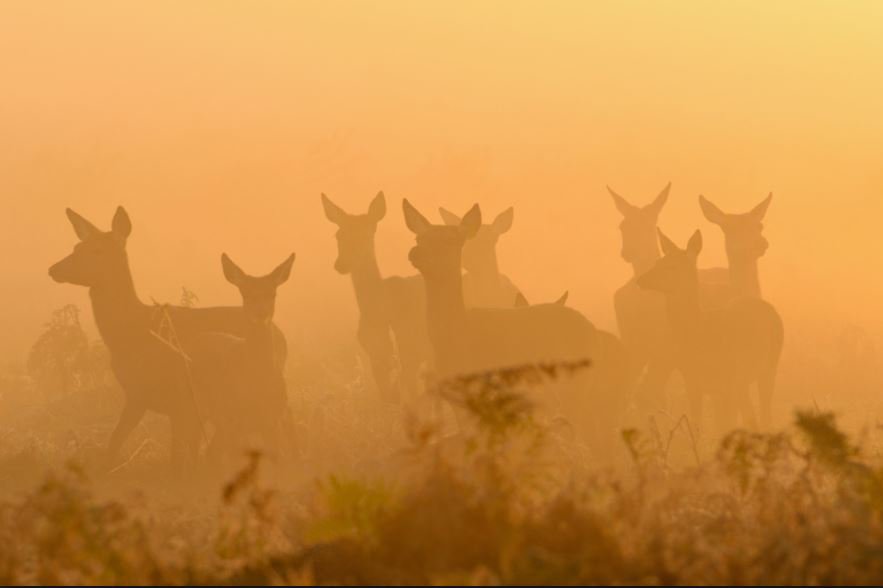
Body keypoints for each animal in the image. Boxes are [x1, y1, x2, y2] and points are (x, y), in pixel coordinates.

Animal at [189, 253, 296, 459]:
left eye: (273, 293)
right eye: (245, 293)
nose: (260, 313)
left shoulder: (272, 422)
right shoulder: (235, 422)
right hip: (194, 407)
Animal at [403, 199, 629, 451]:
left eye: (452, 239)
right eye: (418, 238)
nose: (416, 253)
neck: (456, 336)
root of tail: (593, 333)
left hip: (575, 385)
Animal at [637, 229, 783, 434]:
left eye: (673, 266)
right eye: (659, 262)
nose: (641, 279)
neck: (700, 332)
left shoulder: (727, 382)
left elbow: (726, 425)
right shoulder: (693, 381)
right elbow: (698, 426)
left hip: (765, 367)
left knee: (762, 414)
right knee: (753, 415)